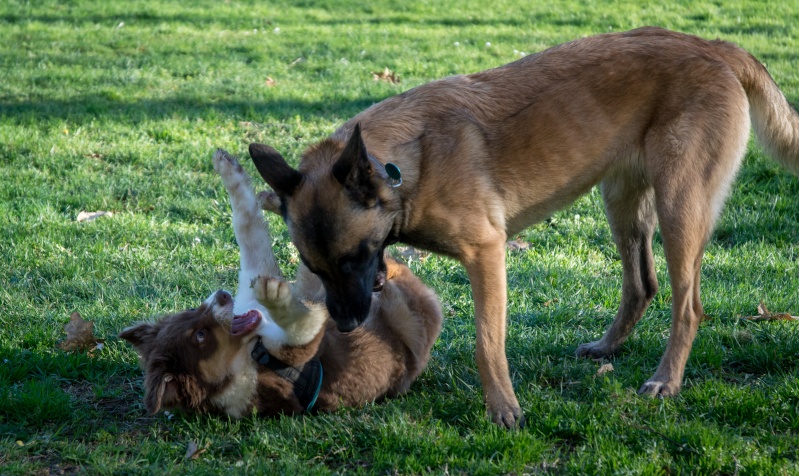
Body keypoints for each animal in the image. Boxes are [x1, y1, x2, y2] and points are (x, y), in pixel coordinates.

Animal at [119, 151, 444, 418]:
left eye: (190, 311)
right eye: (200, 336)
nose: (222, 296)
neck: (249, 351)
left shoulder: (251, 285)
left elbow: (247, 228)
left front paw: (228, 168)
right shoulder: (293, 356)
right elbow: (299, 332)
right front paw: (277, 297)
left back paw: (277, 199)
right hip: (410, 317)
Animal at [250, 26, 799, 428]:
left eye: (354, 259)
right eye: (316, 268)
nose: (344, 326)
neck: (405, 165)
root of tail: (714, 47)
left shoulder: (486, 253)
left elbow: (486, 344)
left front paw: (503, 410)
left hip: (679, 207)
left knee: (688, 305)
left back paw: (666, 380)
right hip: (622, 202)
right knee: (642, 283)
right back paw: (608, 348)